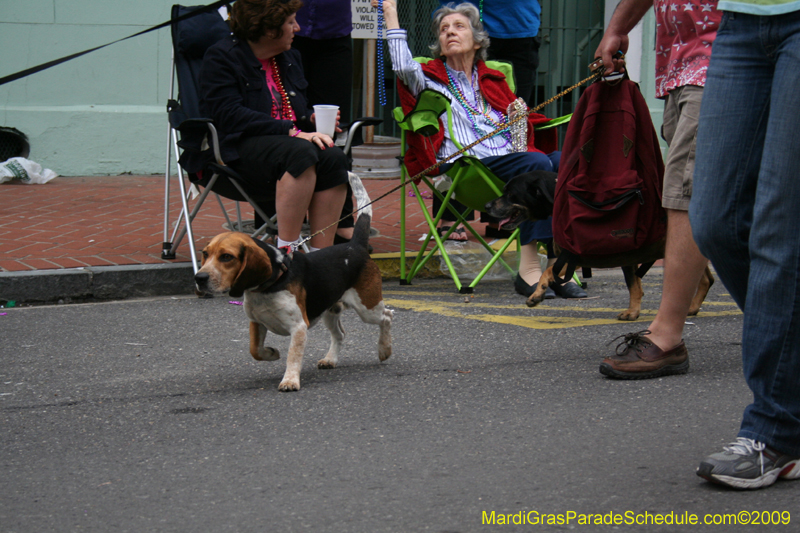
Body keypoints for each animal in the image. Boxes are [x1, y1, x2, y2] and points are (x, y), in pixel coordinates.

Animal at [195, 174, 392, 390]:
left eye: (226, 257)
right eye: (205, 254)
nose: (199, 278)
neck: (270, 285)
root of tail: (355, 246)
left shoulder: (298, 327)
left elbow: (293, 356)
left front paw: (289, 380)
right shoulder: (257, 321)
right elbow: (255, 350)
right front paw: (271, 353)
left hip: (368, 308)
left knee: (387, 316)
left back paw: (384, 350)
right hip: (330, 310)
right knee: (340, 334)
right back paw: (330, 359)